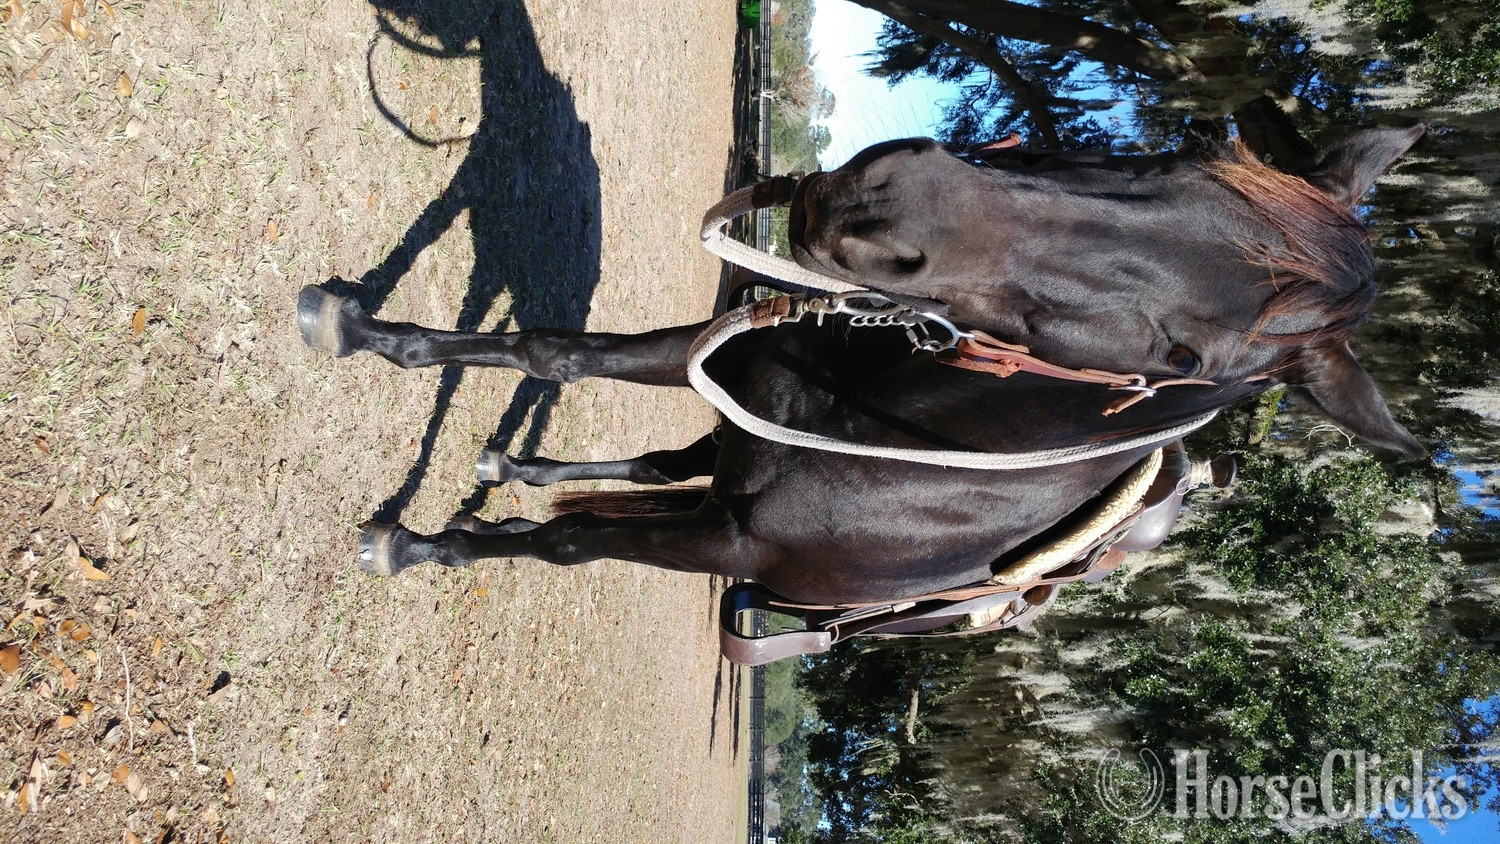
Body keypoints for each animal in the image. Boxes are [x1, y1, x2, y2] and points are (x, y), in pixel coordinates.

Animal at [297, 130, 1424, 655]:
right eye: (1179, 151)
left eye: (1185, 354)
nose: (881, 209)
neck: (909, 444)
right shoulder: (721, 354)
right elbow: (555, 351)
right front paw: (358, 328)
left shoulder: (732, 548)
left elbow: (572, 544)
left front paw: (418, 545)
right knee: (668, 462)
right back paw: (514, 465)